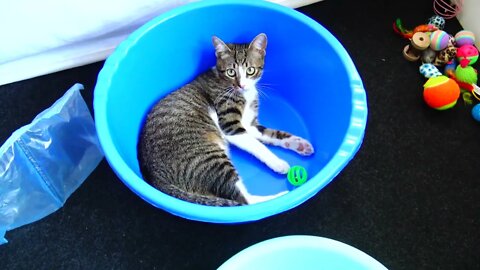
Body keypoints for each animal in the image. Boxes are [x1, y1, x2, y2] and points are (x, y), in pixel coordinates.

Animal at [137, 33, 314, 207]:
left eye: (250, 70)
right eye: (231, 72)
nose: (242, 85)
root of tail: (155, 177)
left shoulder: (250, 125)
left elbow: (272, 134)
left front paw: (299, 144)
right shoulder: (230, 126)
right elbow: (258, 146)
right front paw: (278, 162)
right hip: (207, 157)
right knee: (242, 199)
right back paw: (278, 199)